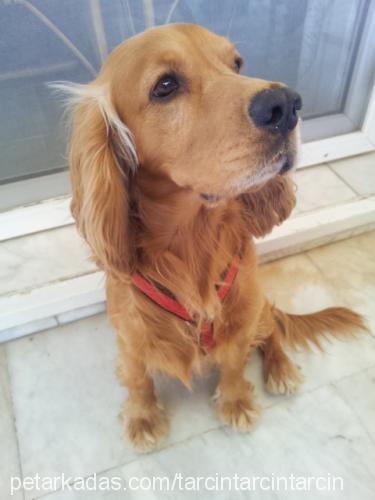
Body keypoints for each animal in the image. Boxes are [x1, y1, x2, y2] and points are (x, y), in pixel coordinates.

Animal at [56, 24, 368, 454]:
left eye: (237, 63)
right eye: (165, 85)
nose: (286, 104)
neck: (191, 238)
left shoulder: (240, 318)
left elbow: (235, 367)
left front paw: (236, 404)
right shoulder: (130, 337)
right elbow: (137, 379)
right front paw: (142, 418)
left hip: (259, 304)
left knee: (272, 328)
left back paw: (281, 368)